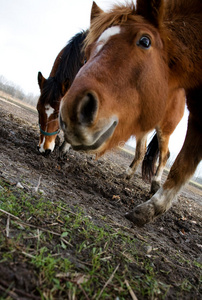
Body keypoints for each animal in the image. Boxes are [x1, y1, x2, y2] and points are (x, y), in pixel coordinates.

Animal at [60, 0, 202, 225]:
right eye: (87, 52)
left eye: (145, 41)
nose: (73, 109)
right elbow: (182, 167)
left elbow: (180, 166)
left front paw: (150, 208)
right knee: (142, 151)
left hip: (165, 128)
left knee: (164, 154)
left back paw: (154, 184)